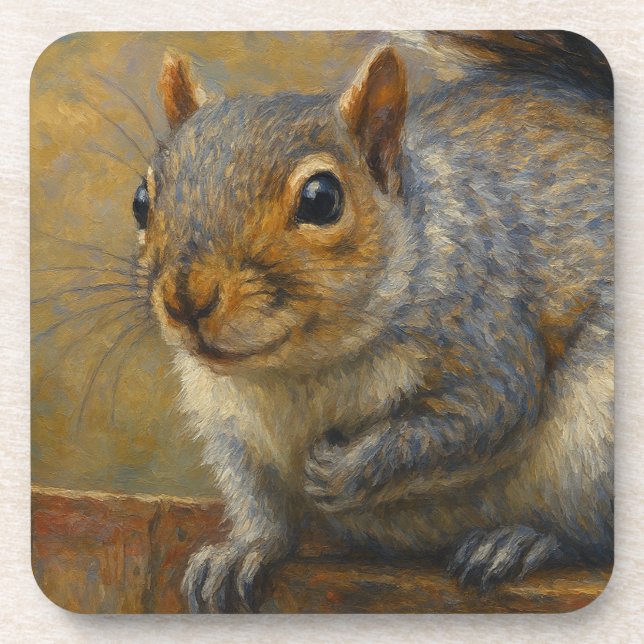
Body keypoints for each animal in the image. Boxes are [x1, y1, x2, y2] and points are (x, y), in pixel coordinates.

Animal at [131, 32, 613, 612]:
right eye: (141, 201)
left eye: (321, 199)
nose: (188, 298)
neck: (298, 369)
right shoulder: (232, 428)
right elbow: (259, 502)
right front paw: (243, 551)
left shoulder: (486, 335)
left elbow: (479, 417)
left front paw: (342, 470)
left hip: (595, 440)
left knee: (588, 536)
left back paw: (521, 541)